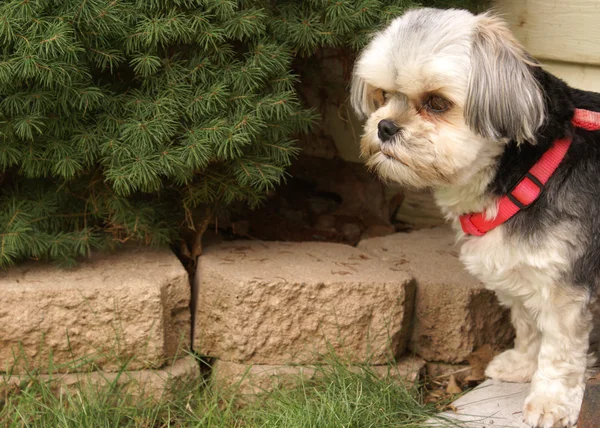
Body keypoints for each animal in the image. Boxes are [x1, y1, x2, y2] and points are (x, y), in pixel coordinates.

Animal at [350, 6, 600, 428]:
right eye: (383, 95)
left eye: (436, 102)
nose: (384, 126)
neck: (522, 169)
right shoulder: (517, 270)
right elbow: (529, 325)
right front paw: (522, 365)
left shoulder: (564, 286)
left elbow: (560, 352)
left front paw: (550, 402)